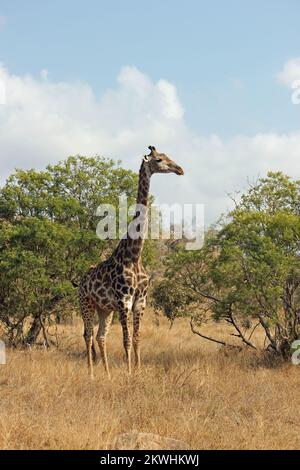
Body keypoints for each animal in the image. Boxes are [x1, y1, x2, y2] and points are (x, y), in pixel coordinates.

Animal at [78, 147, 184, 378]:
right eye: (159, 160)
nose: (180, 169)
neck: (134, 255)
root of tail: (80, 280)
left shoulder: (139, 302)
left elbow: (136, 340)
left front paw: (137, 371)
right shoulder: (123, 301)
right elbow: (126, 340)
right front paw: (128, 373)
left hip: (104, 309)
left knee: (100, 336)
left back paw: (107, 374)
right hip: (86, 303)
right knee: (88, 335)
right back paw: (91, 374)